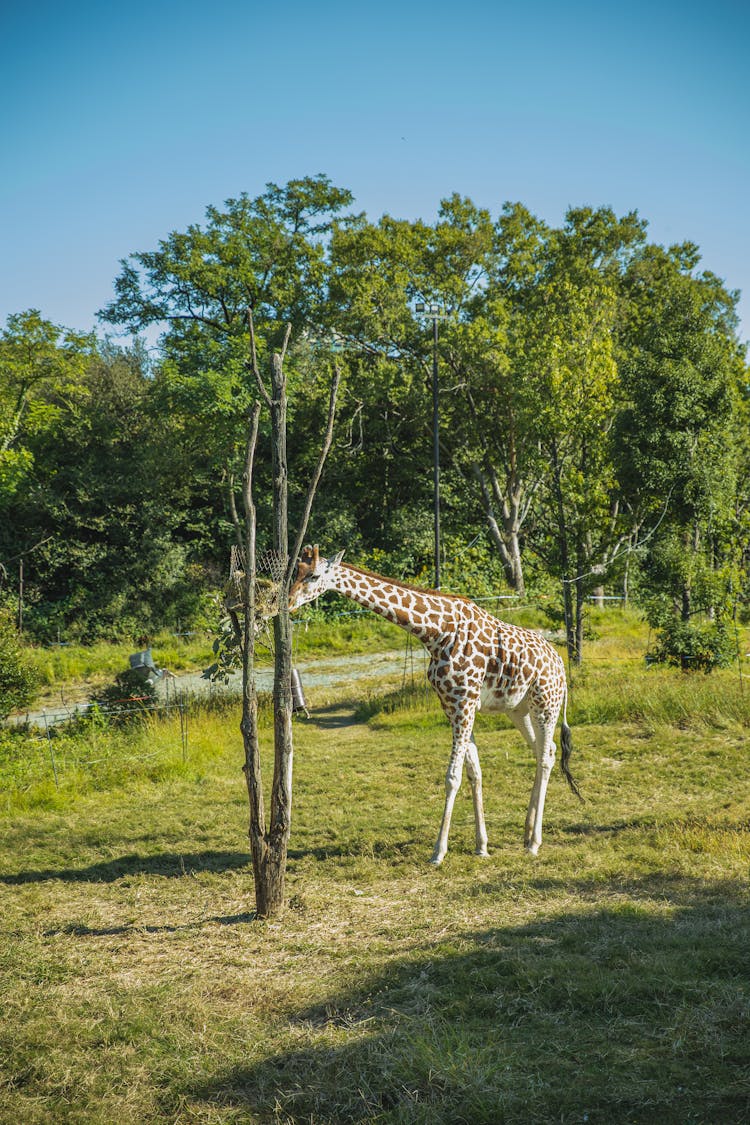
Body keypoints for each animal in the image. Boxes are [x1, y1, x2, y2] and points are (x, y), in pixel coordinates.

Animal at [287, 544, 580, 859]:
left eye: (314, 575)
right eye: (296, 572)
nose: (288, 603)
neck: (435, 632)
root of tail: (561, 665)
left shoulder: (464, 703)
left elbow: (452, 776)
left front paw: (438, 851)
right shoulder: (453, 706)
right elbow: (474, 772)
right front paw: (481, 846)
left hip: (546, 705)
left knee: (547, 756)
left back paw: (535, 842)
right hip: (519, 709)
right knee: (544, 750)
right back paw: (526, 834)